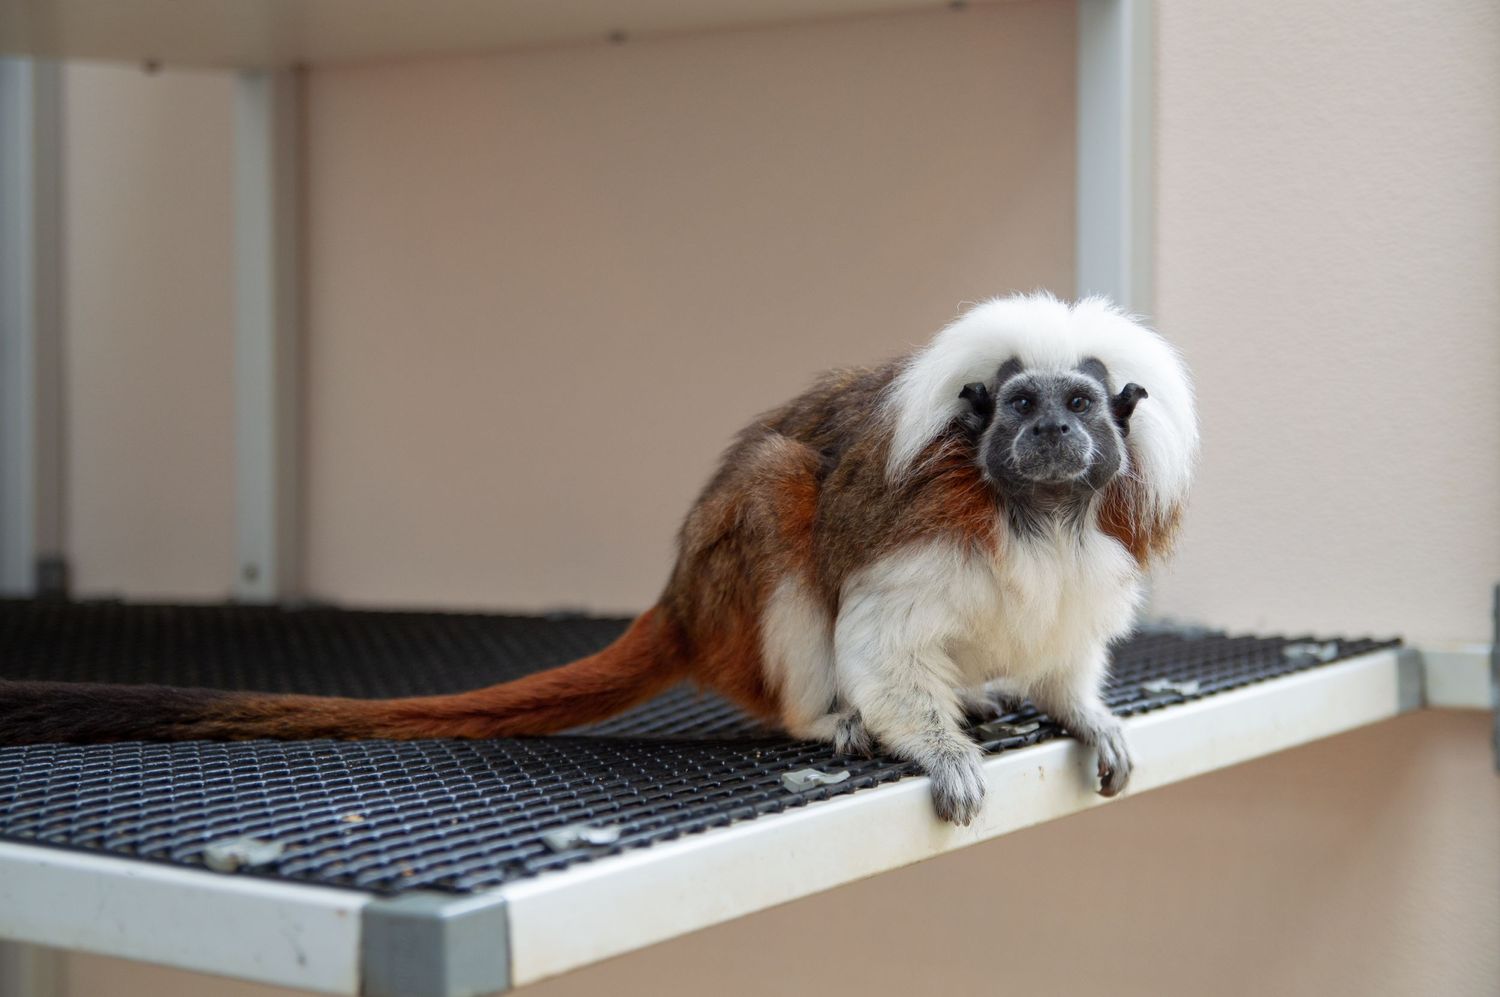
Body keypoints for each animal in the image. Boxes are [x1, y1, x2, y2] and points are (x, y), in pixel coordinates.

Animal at [0, 293, 1198, 826]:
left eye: (1084, 405)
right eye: (1024, 405)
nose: (1055, 433)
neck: (1033, 514)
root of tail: (679, 596)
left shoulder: (1091, 549)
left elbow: (1066, 658)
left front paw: (1085, 715)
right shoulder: (925, 541)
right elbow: (879, 642)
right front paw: (935, 749)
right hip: (733, 583)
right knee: (777, 488)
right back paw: (824, 715)